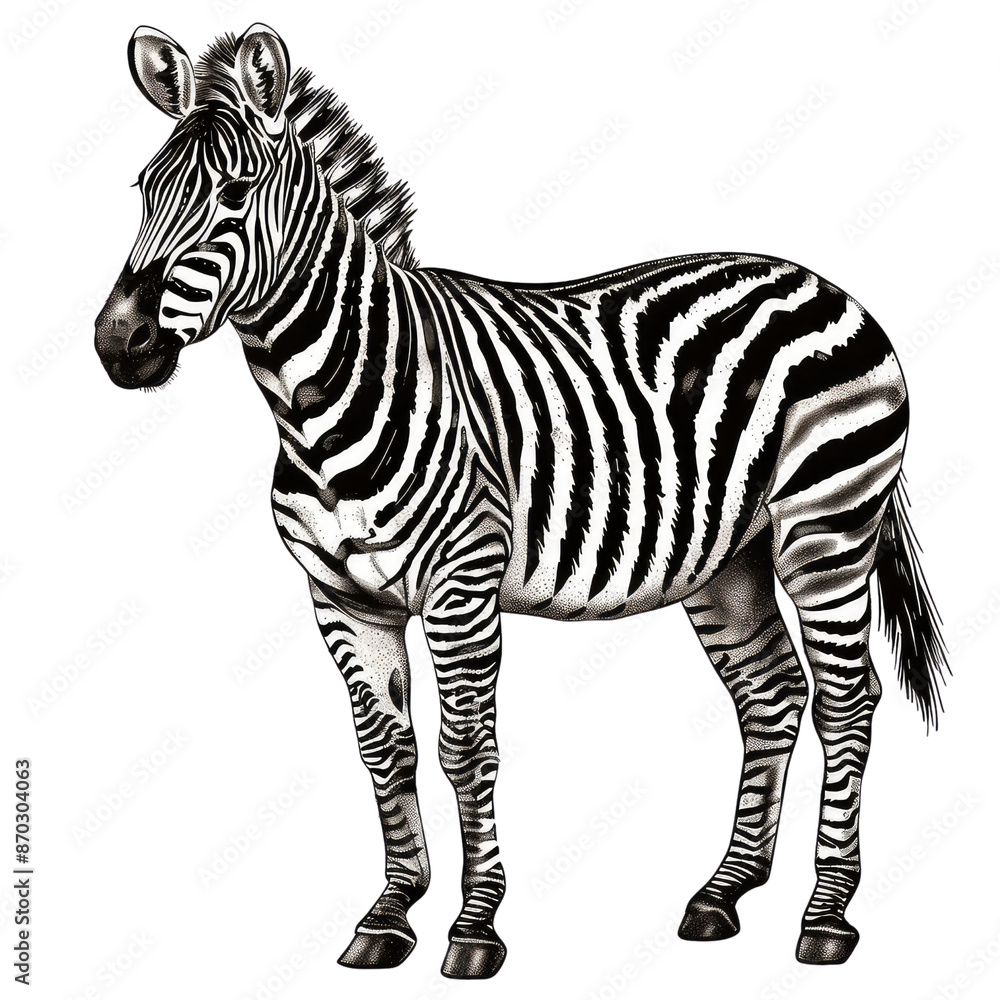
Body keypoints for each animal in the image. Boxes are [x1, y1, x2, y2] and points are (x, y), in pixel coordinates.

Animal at [94, 24, 948, 979]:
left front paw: (474, 928)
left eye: (234, 196)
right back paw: (723, 894)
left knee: (848, 698)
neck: (320, 399)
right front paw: (390, 914)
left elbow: (466, 747)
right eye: (143, 190)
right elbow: (383, 748)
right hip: (731, 558)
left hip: (826, 527)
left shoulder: (463, 579)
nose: (117, 342)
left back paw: (827, 915)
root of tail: (823, 282)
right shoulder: (342, 596)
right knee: (772, 696)